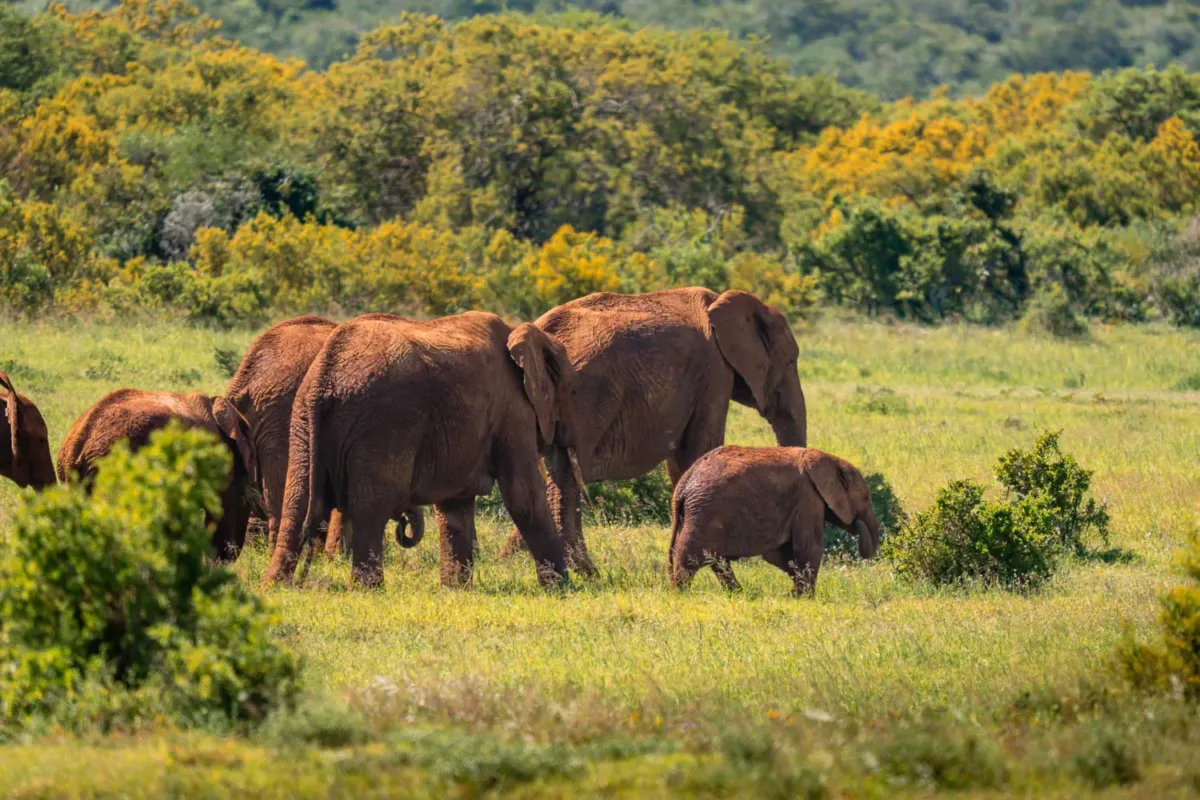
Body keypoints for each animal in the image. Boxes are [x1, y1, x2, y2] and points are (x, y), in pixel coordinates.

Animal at [261, 311, 583, 589]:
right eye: (571, 391)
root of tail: (325, 372)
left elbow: (455, 504)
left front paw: (455, 591)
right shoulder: (513, 410)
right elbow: (523, 496)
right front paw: (563, 590)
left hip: (302, 423)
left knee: (296, 506)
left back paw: (276, 587)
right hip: (384, 425)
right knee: (371, 509)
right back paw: (369, 592)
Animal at [501, 287, 807, 574]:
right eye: (791, 361)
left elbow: (682, 462)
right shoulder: (715, 371)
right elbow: (699, 449)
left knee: (559, 473)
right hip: (587, 399)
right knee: (569, 477)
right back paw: (586, 573)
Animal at [668, 446, 880, 596]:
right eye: (866, 498)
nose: (857, 524)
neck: (826, 459)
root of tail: (682, 486)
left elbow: (779, 554)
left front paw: (793, 594)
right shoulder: (808, 498)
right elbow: (809, 547)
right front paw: (806, 596)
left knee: (717, 559)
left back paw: (738, 593)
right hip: (704, 513)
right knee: (691, 557)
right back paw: (680, 594)